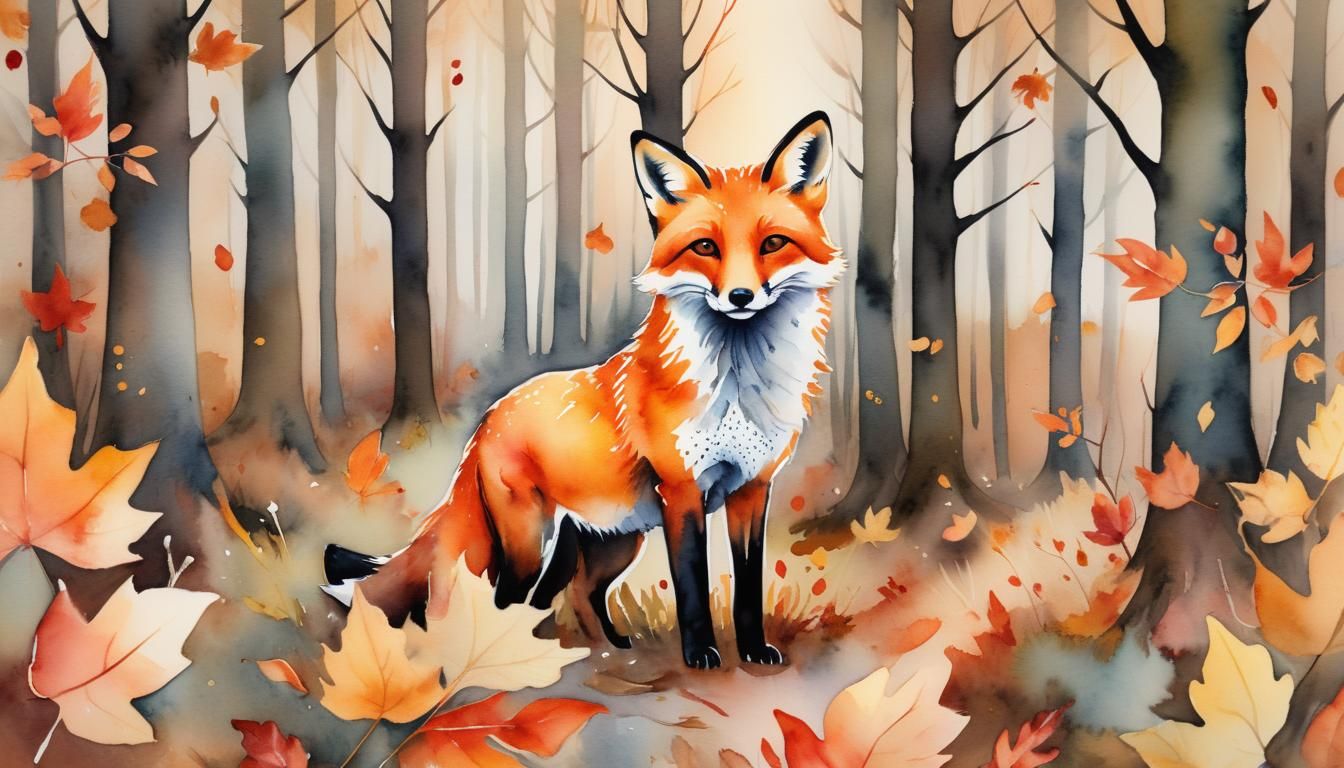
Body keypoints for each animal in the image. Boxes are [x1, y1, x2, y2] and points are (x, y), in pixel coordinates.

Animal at [324, 111, 842, 669]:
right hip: (529, 541)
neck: (738, 392)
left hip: (612, 541)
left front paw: (752, 650)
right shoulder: (681, 493)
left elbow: (748, 583)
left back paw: (608, 648)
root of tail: (486, 421)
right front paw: (701, 652)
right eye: (706, 246)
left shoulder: (752, 488)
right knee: (507, 599)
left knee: (576, 594)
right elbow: (691, 586)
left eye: (773, 244)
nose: (740, 296)